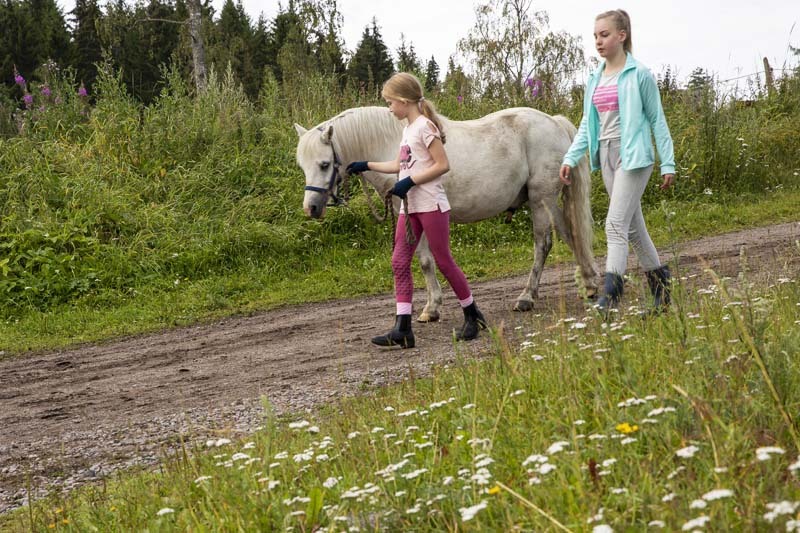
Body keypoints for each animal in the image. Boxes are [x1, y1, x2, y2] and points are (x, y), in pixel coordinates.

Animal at [294, 105, 592, 320]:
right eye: (302, 165)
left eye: (324, 164)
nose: (311, 208)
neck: (393, 143)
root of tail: (553, 122)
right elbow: (425, 261)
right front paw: (432, 307)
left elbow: (426, 261)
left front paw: (431, 307)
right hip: (547, 201)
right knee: (571, 234)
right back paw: (588, 283)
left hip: (541, 200)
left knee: (543, 244)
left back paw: (527, 296)